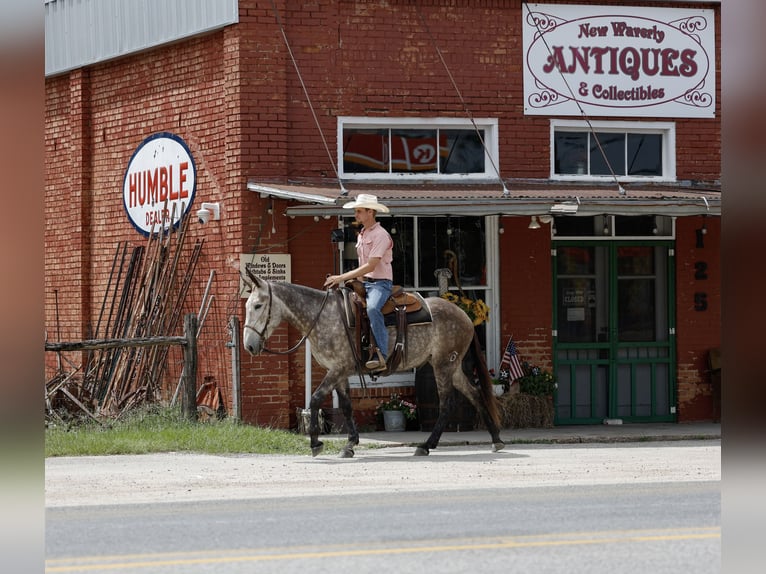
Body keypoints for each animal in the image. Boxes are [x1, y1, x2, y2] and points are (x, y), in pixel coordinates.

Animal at [243, 266, 508, 460]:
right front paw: (350, 444)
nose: (249, 346)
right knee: (475, 394)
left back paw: (426, 445)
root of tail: (465, 316)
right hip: (452, 367)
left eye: (258, 305)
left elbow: (316, 399)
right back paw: (496, 440)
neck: (322, 317)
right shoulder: (339, 372)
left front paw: (315, 443)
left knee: (446, 404)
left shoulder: (337, 369)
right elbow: (346, 407)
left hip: (443, 365)